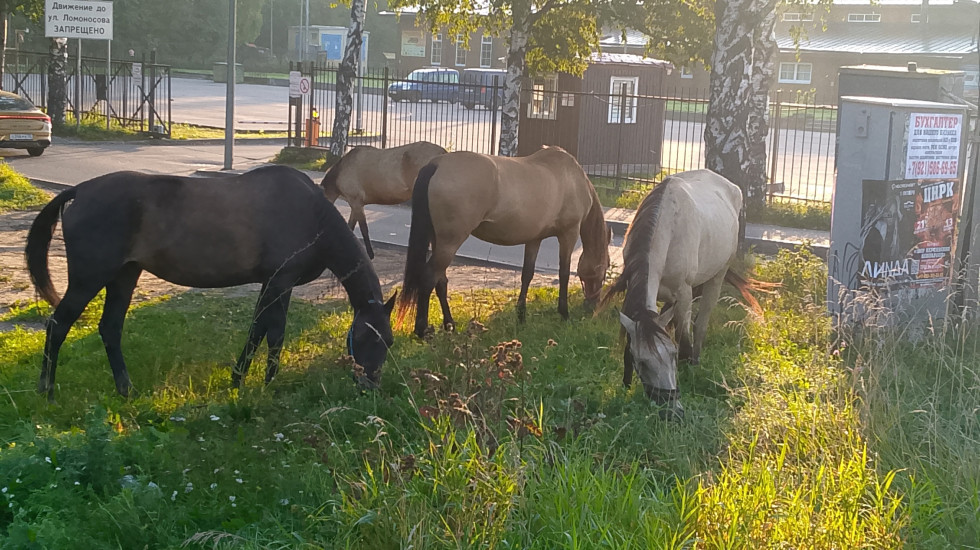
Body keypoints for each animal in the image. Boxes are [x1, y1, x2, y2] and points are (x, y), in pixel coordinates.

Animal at [26, 164, 394, 402]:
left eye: (388, 341)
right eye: (368, 337)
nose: (371, 386)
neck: (312, 216)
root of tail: (80, 191)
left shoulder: (273, 284)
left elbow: (258, 330)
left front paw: (238, 379)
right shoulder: (280, 282)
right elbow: (273, 333)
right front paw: (268, 383)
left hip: (124, 275)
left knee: (110, 328)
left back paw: (126, 390)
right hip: (89, 278)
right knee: (58, 325)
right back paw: (47, 390)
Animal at [394, 147, 608, 338]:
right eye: (604, 272)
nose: (592, 306)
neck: (572, 178)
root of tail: (437, 164)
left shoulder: (534, 238)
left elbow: (527, 274)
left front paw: (521, 316)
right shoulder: (569, 234)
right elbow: (564, 274)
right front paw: (564, 314)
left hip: (439, 241)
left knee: (441, 281)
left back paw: (449, 324)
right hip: (450, 243)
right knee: (429, 277)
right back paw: (422, 330)